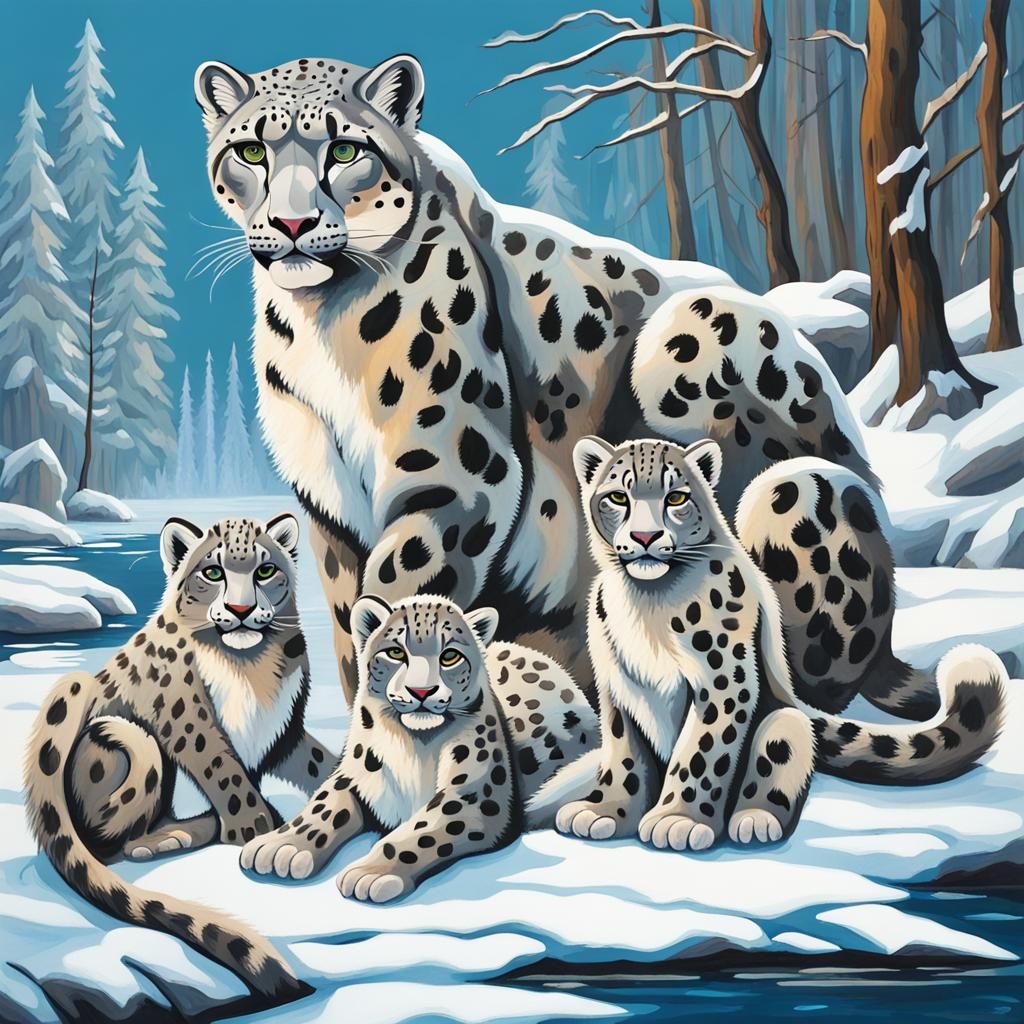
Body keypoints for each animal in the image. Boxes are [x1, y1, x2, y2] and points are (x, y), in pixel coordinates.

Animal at [23, 513, 334, 998]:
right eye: (213, 571)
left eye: (265, 570)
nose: (241, 610)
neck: (253, 666)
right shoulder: (189, 717)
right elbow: (228, 777)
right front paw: (255, 831)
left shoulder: (283, 732)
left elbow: (319, 763)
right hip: (121, 738)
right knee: (110, 837)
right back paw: (160, 839)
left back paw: (176, 834)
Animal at [192, 52, 909, 711]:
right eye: (250, 150)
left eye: (345, 149)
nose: (292, 225)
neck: (325, 326)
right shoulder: (330, 507)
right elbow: (350, 627)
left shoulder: (455, 477)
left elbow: (403, 587)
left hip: (709, 363)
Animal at [240, 594, 597, 902]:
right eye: (396, 652)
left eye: (450, 655)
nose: (421, 691)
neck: (413, 746)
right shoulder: (353, 775)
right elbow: (323, 806)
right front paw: (280, 846)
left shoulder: (472, 794)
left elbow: (421, 830)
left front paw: (370, 872)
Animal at [555, 436, 1006, 850]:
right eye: (618, 496)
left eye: (676, 496)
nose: (645, 537)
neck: (647, 603)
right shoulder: (620, 685)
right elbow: (624, 754)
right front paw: (603, 811)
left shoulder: (723, 680)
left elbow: (701, 751)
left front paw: (677, 820)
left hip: (783, 720)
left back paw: (754, 820)